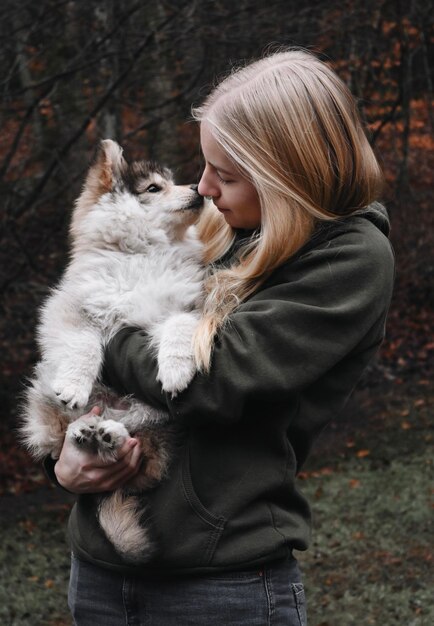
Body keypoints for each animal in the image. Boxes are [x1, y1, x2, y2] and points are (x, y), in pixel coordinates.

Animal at [22, 140, 207, 560]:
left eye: (172, 182)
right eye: (154, 188)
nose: (198, 189)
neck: (146, 255)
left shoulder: (185, 307)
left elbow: (178, 326)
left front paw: (175, 368)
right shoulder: (73, 309)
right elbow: (86, 344)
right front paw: (75, 383)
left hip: (156, 416)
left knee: (138, 440)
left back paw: (108, 435)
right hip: (44, 387)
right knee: (60, 433)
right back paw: (85, 430)